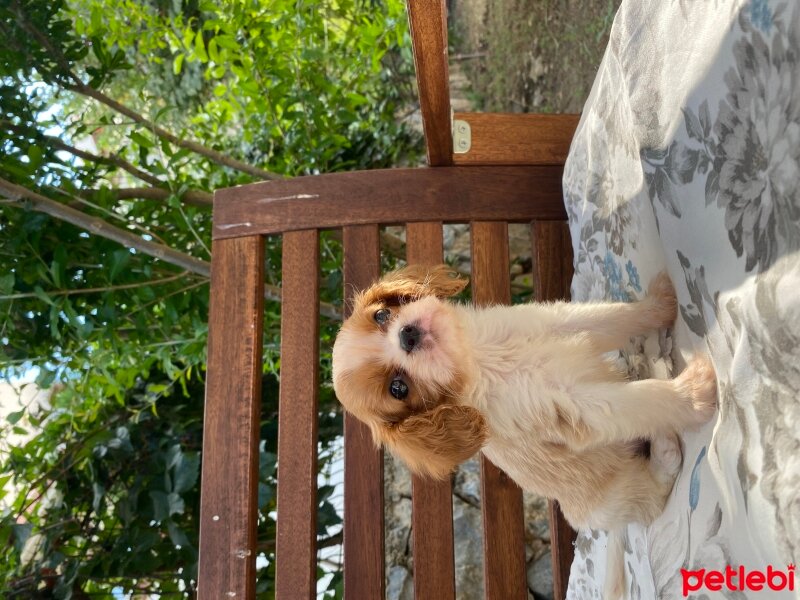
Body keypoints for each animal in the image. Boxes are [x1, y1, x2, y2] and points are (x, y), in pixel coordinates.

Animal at [332, 268, 720, 596]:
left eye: (382, 315)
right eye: (398, 388)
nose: (407, 335)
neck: (477, 358)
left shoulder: (552, 321)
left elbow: (614, 316)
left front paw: (661, 303)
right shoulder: (581, 406)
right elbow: (646, 398)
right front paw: (694, 393)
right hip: (618, 496)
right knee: (652, 492)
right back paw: (665, 447)